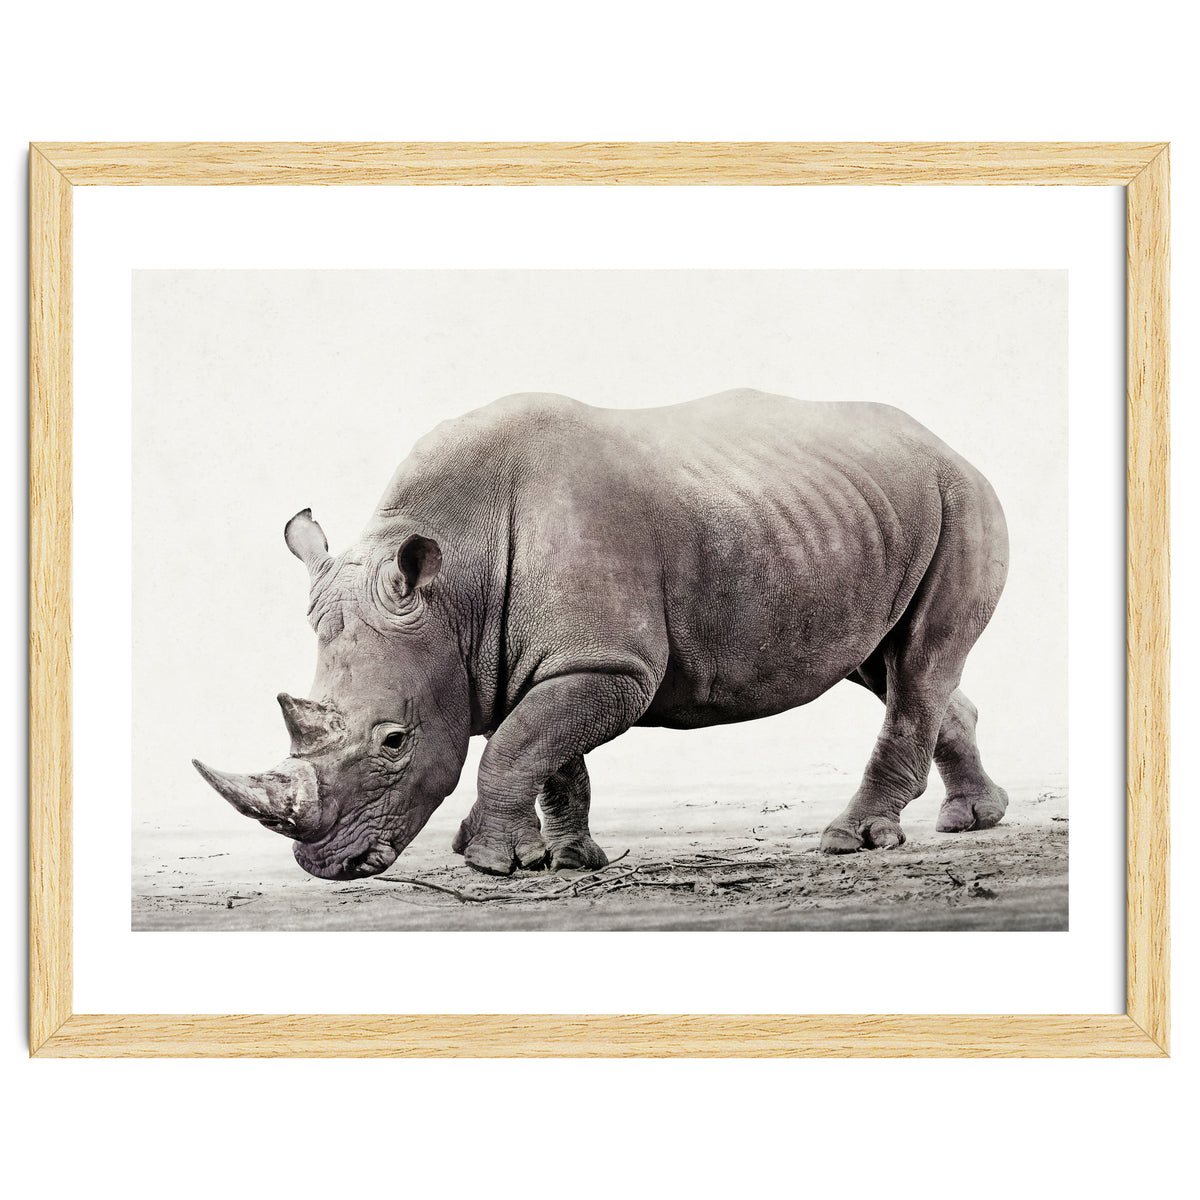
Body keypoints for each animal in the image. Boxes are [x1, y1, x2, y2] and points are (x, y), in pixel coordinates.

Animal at [193, 388, 1010, 880]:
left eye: (394, 741)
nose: (326, 864)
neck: (456, 586)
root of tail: (947, 443)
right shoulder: (555, 659)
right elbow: (550, 753)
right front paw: (568, 859)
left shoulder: (609, 663)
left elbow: (519, 744)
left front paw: (490, 864)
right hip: (857, 515)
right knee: (889, 665)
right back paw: (972, 820)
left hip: (962, 499)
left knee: (918, 663)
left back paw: (853, 840)